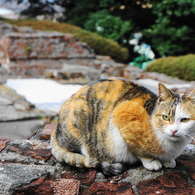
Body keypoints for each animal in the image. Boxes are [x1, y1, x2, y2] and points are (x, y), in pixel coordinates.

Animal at [50, 77, 195, 175]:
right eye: (165, 117)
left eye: (185, 120)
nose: (174, 130)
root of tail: (55, 132)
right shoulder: (123, 112)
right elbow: (138, 150)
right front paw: (152, 162)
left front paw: (168, 161)